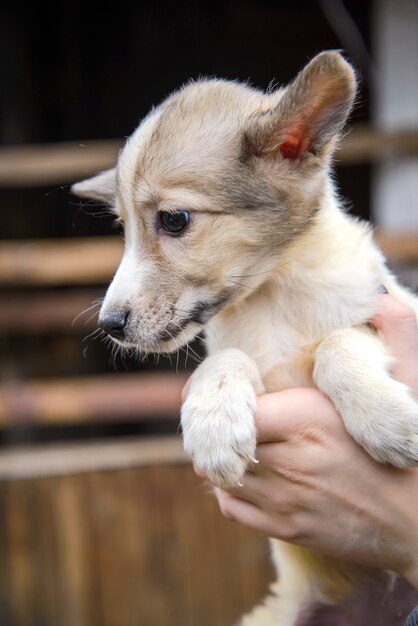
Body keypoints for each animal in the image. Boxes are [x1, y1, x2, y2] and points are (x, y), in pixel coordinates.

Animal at [72, 53, 418, 624]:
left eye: (174, 219)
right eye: (122, 227)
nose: (109, 325)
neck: (272, 294)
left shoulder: (387, 309)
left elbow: (337, 344)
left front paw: (387, 419)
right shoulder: (230, 347)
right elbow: (225, 359)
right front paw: (214, 426)